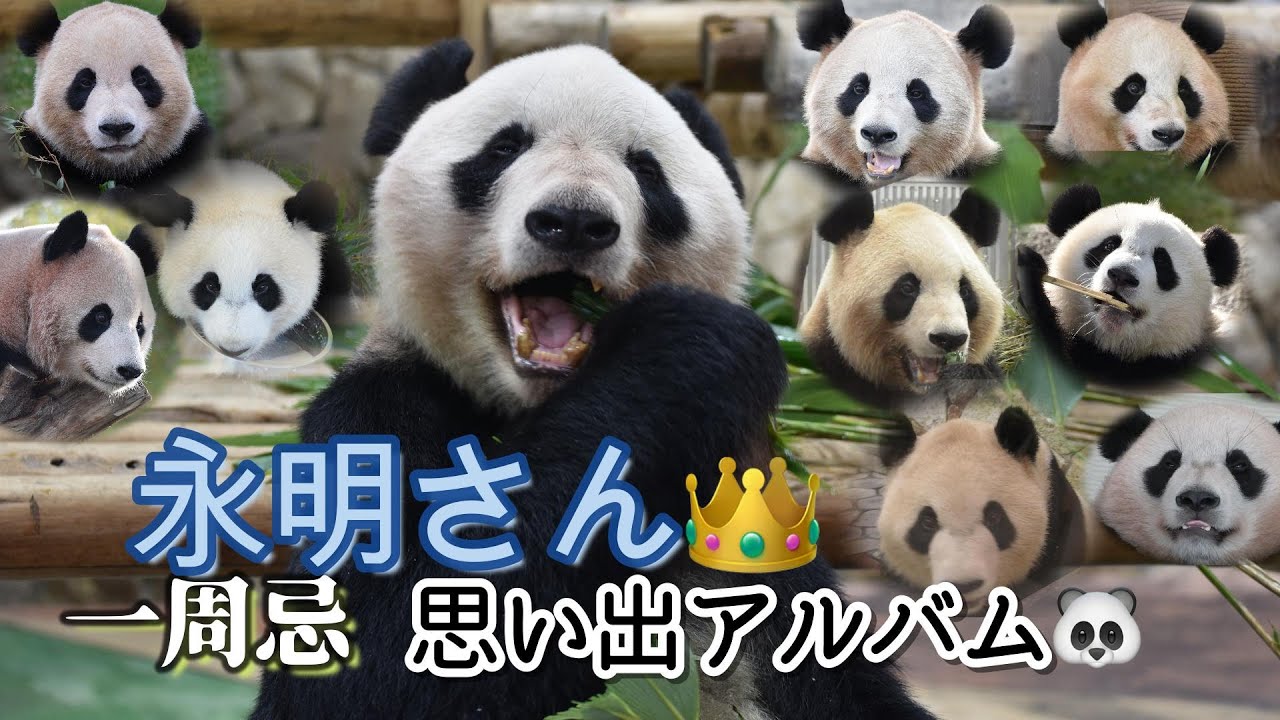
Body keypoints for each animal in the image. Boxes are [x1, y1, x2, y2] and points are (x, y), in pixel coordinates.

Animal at [14, 1, 210, 194]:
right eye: (85, 82)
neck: (117, 171)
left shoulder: (190, 147)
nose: (117, 127)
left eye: (142, 79)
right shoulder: (34, 148)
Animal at [249, 40, 933, 720]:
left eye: (647, 170)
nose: (573, 222)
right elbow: (378, 659)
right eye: (504, 147)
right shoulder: (372, 419)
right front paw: (686, 344)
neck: (543, 408)